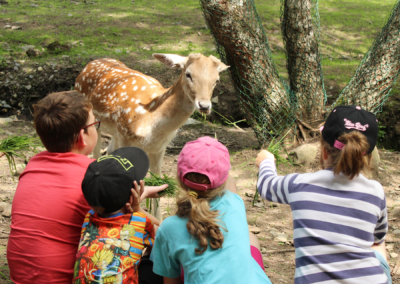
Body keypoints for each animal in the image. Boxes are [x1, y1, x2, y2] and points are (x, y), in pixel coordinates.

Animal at [74, 53, 228, 178]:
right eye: (188, 74)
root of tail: (87, 65)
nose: (204, 106)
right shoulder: (126, 138)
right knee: (95, 154)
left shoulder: (160, 148)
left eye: (217, 80)